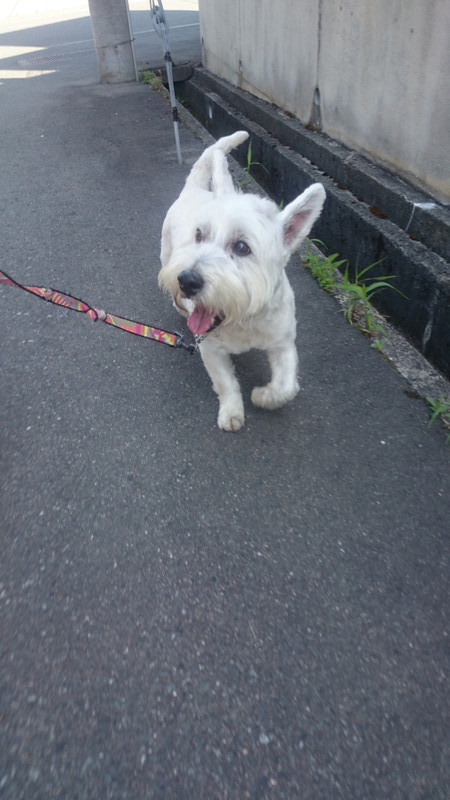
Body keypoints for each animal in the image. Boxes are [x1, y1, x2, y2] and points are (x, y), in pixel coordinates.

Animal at [158, 131, 325, 431]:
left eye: (242, 247)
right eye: (199, 234)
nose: (187, 281)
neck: (242, 319)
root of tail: (194, 189)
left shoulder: (283, 342)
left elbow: (286, 387)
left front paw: (262, 396)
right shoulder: (210, 348)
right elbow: (225, 383)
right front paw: (232, 412)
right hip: (166, 255)